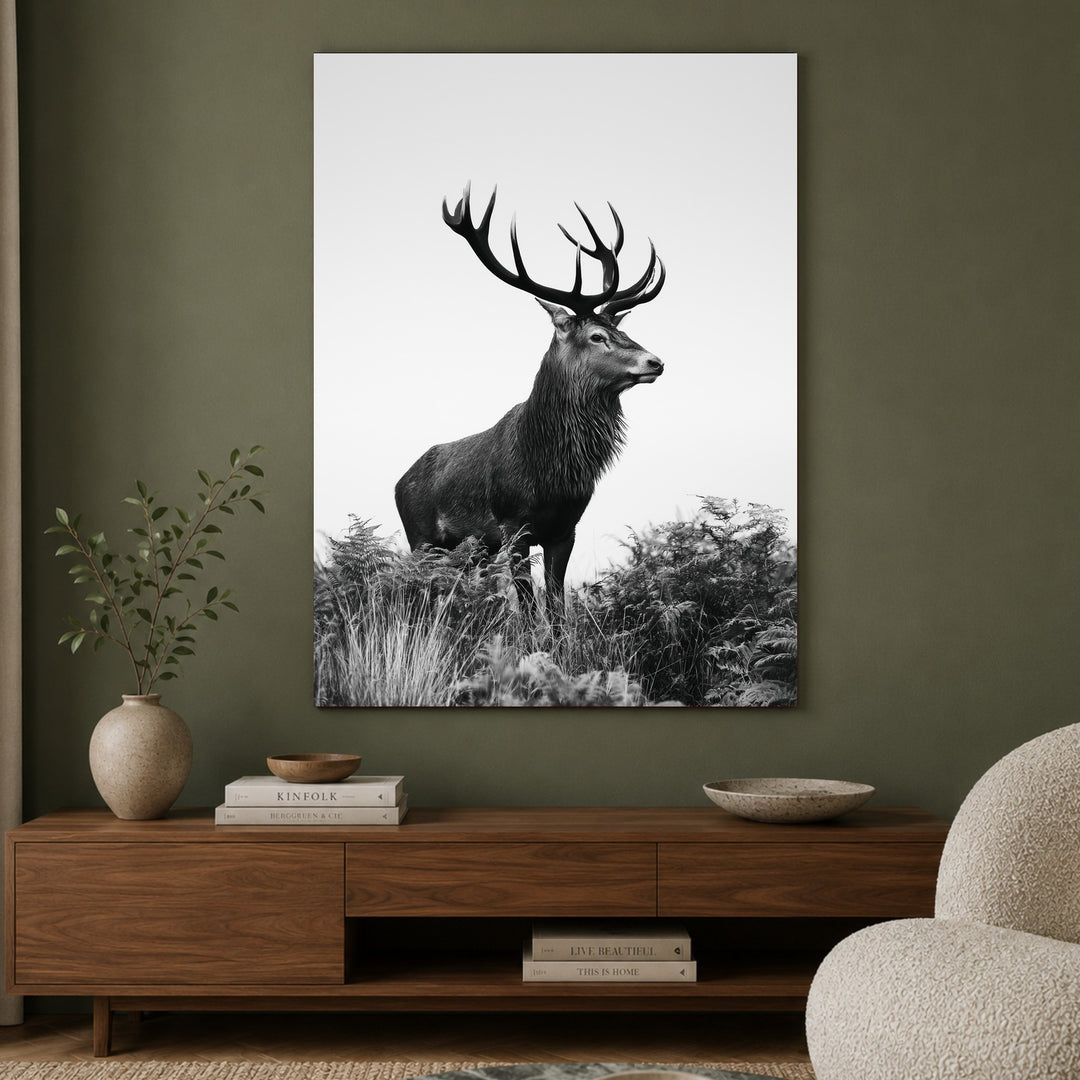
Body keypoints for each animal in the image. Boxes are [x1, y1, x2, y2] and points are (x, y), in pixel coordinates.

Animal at [394, 183, 666, 619]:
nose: (655, 361)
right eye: (597, 336)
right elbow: (526, 605)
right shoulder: (513, 525)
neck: (548, 470)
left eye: (621, 331)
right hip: (420, 538)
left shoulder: (565, 529)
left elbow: (555, 605)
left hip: (473, 550)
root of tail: (399, 481)